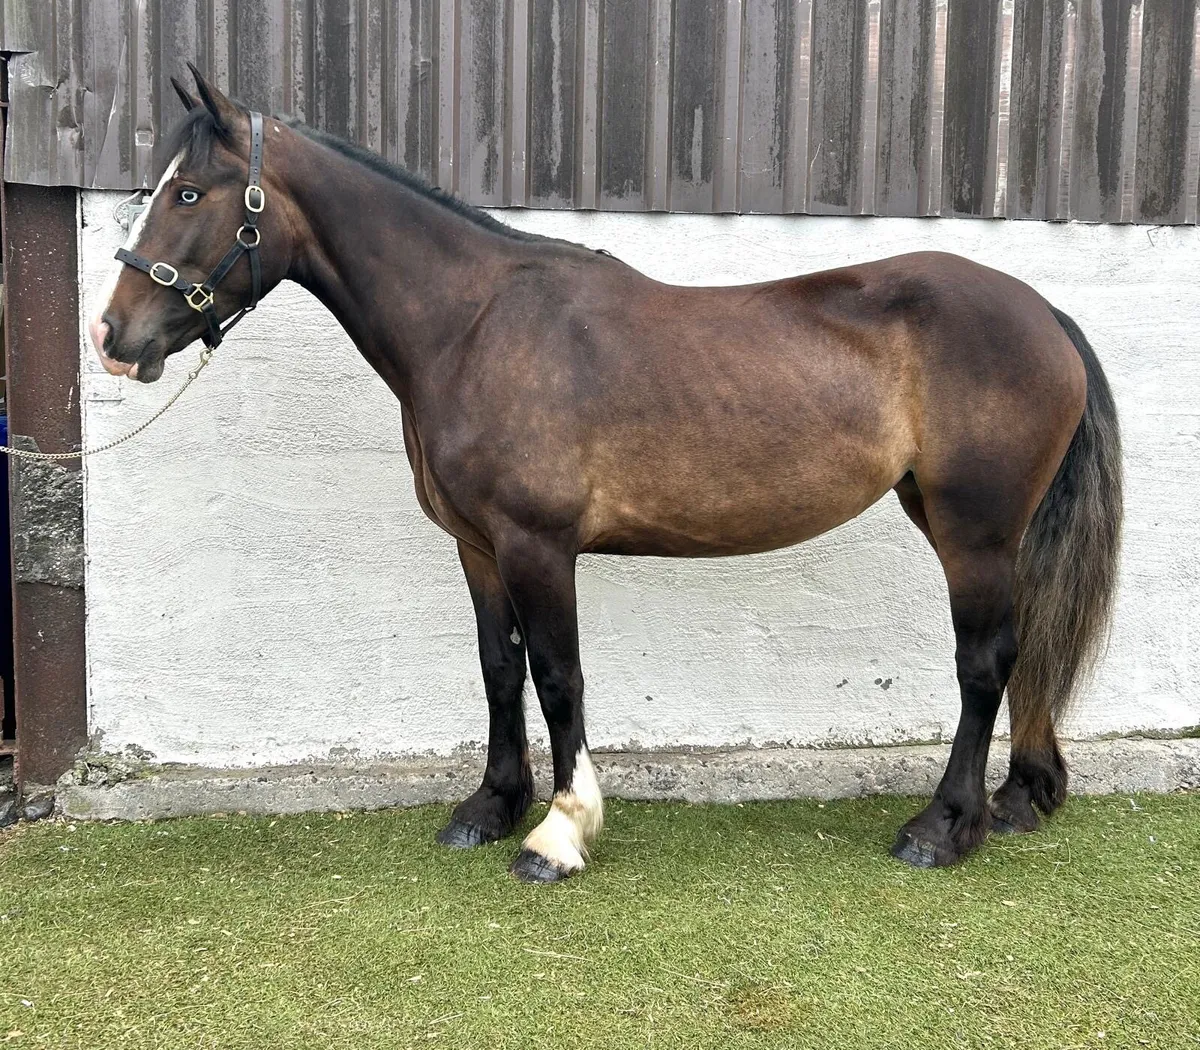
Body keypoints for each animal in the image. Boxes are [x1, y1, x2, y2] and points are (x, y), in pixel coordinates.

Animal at [90, 67, 1122, 883]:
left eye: (189, 194)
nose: (112, 337)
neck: (472, 324)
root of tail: (1043, 313)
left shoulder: (538, 545)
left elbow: (558, 676)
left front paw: (559, 831)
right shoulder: (478, 548)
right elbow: (499, 668)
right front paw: (489, 806)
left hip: (973, 532)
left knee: (984, 664)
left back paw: (943, 827)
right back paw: (1018, 798)